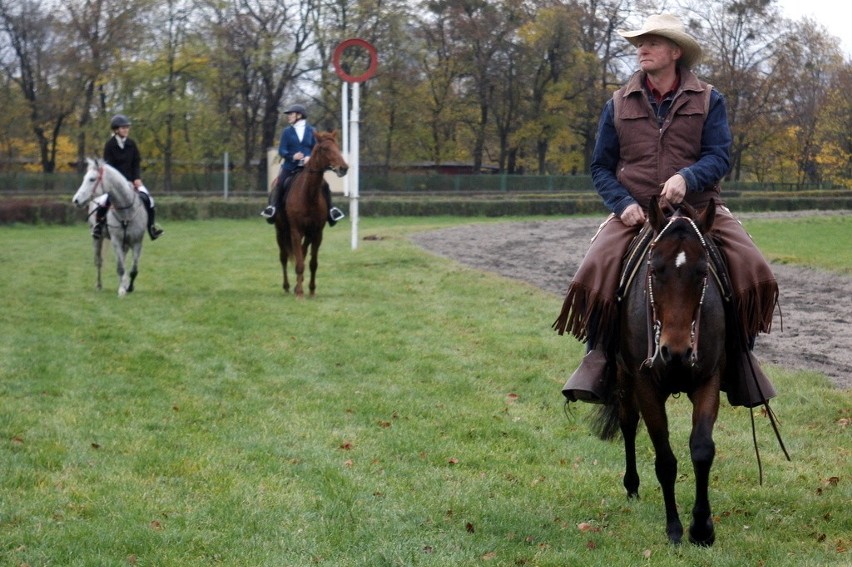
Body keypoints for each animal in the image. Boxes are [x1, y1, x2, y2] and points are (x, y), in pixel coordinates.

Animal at [73, 156, 148, 298]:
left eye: (92, 179)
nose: (76, 200)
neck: (126, 212)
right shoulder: (116, 241)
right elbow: (120, 267)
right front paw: (122, 290)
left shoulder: (137, 242)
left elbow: (133, 269)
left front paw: (129, 287)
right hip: (97, 239)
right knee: (99, 261)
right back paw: (99, 285)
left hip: (125, 244)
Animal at [276, 129, 350, 298]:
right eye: (325, 149)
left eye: (337, 147)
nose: (343, 168)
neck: (308, 194)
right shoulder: (296, 231)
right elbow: (298, 262)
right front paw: (299, 293)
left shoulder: (317, 233)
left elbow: (312, 263)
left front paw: (311, 290)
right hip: (280, 231)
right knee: (284, 257)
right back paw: (287, 286)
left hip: (308, 234)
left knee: (302, 253)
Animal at [592, 197, 724, 548]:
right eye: (654, 268)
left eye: (702, 271)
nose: (675, 352)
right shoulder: (645, 385)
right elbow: (665, 460)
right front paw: (675, 529)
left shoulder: (708, 379)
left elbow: (702, 449)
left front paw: (702, 529)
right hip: (624, 379)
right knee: (627, 424)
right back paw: (632, 486)